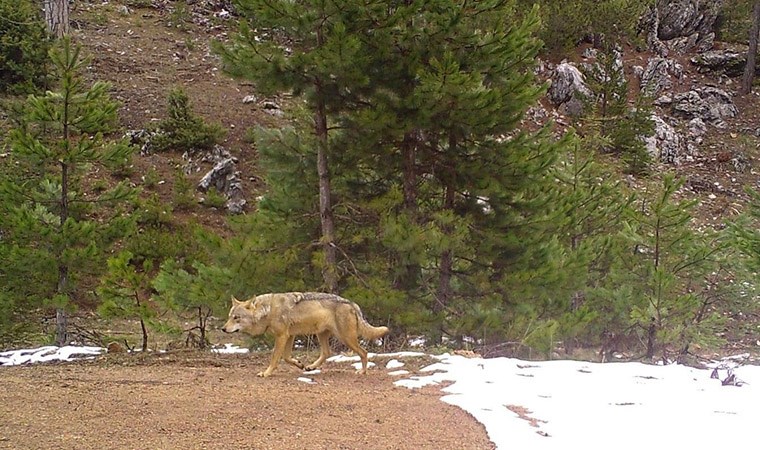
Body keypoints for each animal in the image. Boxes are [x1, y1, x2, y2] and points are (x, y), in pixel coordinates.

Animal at [220, 292, 386, 376]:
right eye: (229, 316)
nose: (223, 329)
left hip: (346, 338)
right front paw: (299, 364)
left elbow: (275, 358)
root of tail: (352, 303)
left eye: (236, 318)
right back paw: (310, 367)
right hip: (322, 335)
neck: (268, 310)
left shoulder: (282, 336)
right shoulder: (289, 336)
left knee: (364, 352)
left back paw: (362, 371)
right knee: (327, 353)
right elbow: (287, 357)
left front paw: (266, 373)